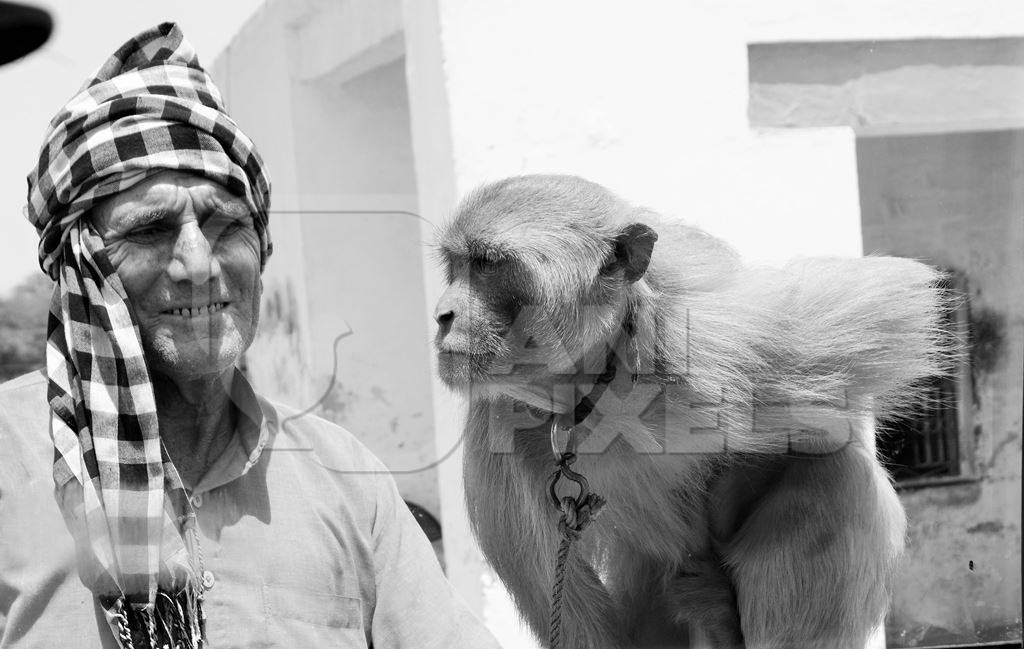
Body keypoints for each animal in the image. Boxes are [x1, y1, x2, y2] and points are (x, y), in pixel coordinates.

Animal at [432, 172, 950, 646]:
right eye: (456, 266)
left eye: (488, 265)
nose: (442, 314)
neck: (596, 387)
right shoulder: (498, 429)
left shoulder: (712, 338)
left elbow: (896, 307)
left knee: (835, 475)